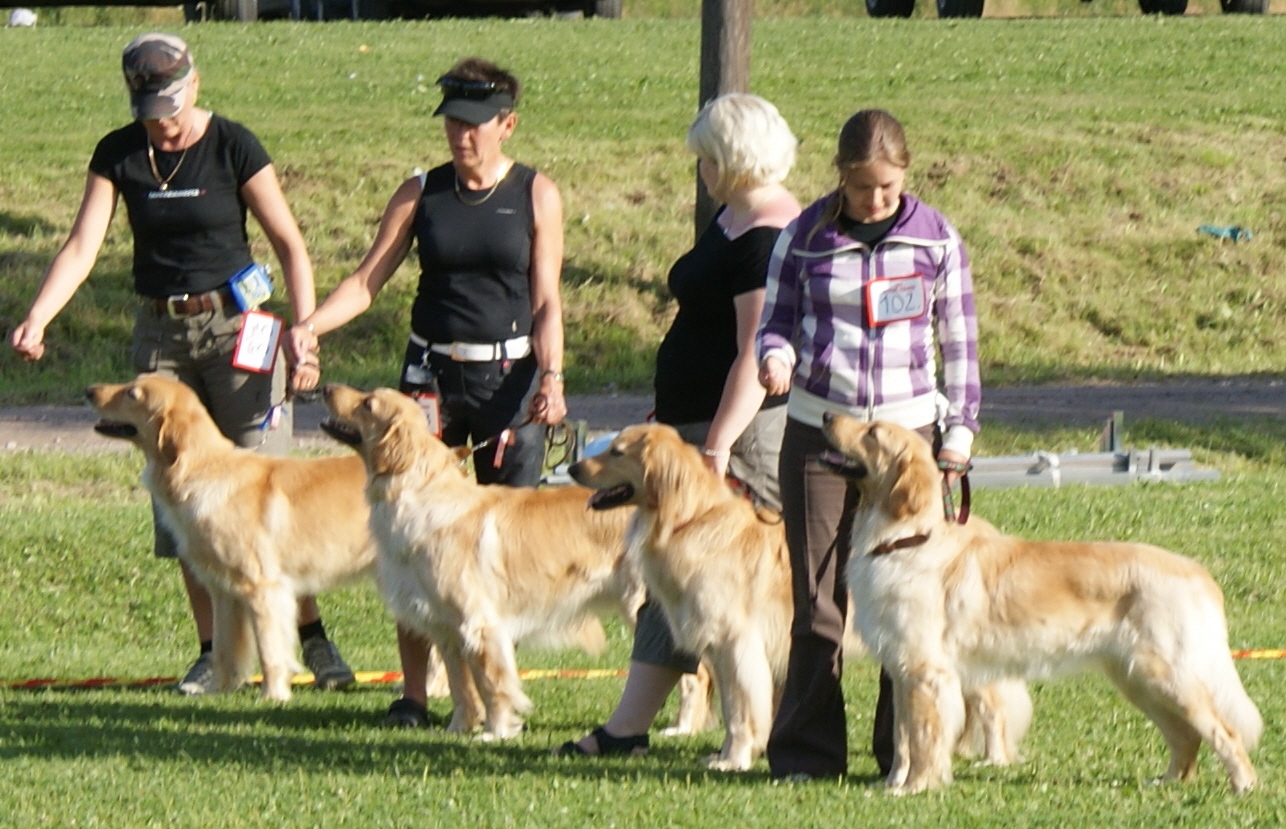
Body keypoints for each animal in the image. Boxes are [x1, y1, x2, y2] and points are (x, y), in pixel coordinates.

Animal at [86, 375, 372, 699]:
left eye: (132, 394)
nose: (89, 391)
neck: (202, 471)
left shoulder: (261, 587)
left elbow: (269, 650)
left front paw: (273, 694)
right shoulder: (223, 590)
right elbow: (224, 648)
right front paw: (218, 691)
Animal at [321, 385, 643, 740]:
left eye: (368, 403)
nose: (326, 387)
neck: (419, 496)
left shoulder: (479, 624)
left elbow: (491, 686)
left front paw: (497, 730)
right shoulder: (445, 629)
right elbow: (461, 686)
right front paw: (459, 728)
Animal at [823, 416, 1255, 791]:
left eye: (873, 432)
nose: (826, 416)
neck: (904, 538)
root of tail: (1196, 571)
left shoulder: (925, 671)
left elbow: (924, 738)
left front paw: (917, 787)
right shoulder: (900, 671)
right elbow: (902, 740)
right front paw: (892, 785)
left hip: (1166, 674)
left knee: (1223, 731)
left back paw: (1243, 785)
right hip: (1137, 679)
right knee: (1185, 736)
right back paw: (1168, 782)